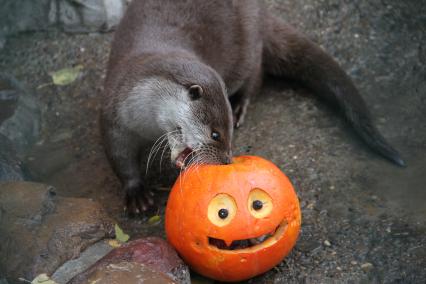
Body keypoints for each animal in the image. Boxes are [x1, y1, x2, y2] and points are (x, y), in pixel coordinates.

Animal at [101, 0, 404, 214]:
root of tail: (260, 12)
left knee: (256, 73)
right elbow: (119, 158)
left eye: (228, 135)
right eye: (215, 135)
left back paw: (240, 105)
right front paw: (137, 194)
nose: (226, 161)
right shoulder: (116, 115)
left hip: (245, 50)